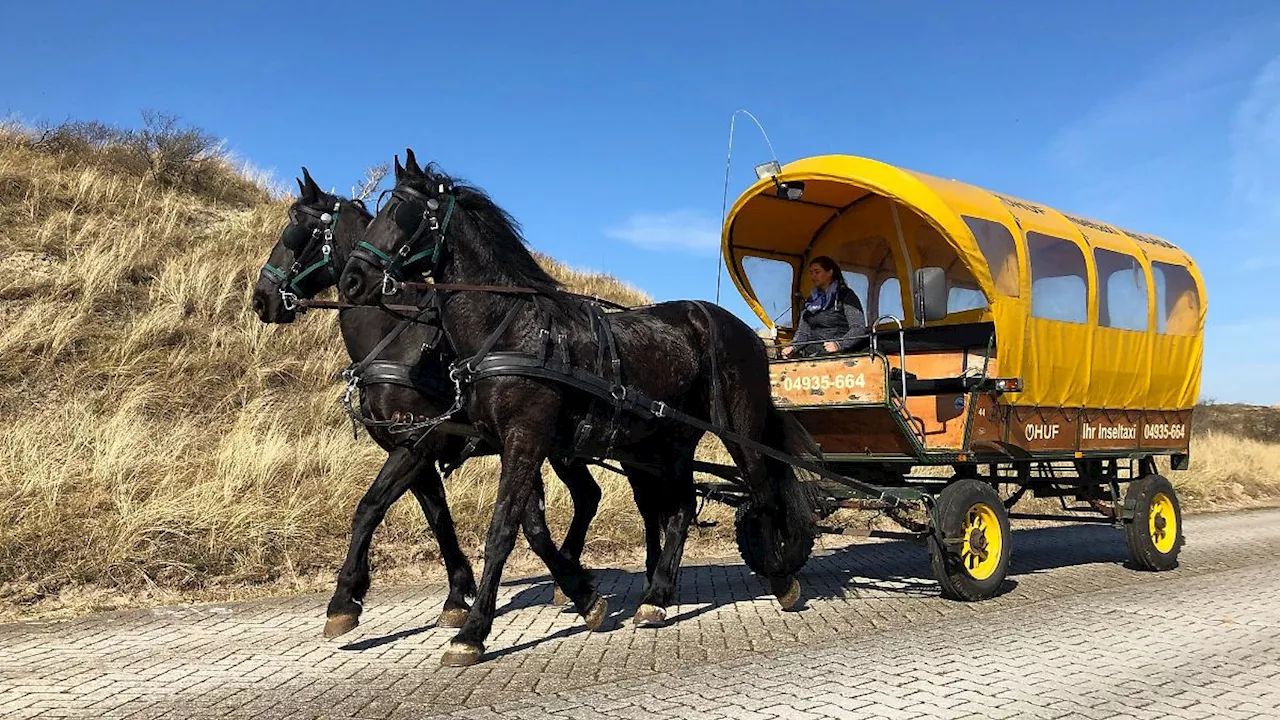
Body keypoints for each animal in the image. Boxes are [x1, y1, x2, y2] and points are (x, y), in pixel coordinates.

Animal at [256, 169, 609, 638]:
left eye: (298, 233)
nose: (261, 299)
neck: (398, 338)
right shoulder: (415, 451)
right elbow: (439, 519)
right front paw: (457, 595)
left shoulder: (417, 445)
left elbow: (369, 508)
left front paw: (344, 598)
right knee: (587, 495)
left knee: (587, 496)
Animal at [340, 148, 814, 666]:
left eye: (402, 212)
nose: (352, 279)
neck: (512, 330)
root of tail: (743, 330)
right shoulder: (490, 443)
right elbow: (513, 523)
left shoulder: (519, 438)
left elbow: (502, 530)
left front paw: (473, 630)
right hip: (666, 440)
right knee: (679, 508)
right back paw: (656, 596)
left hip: (737, 425)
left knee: (762, 493)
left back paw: (780, 577)